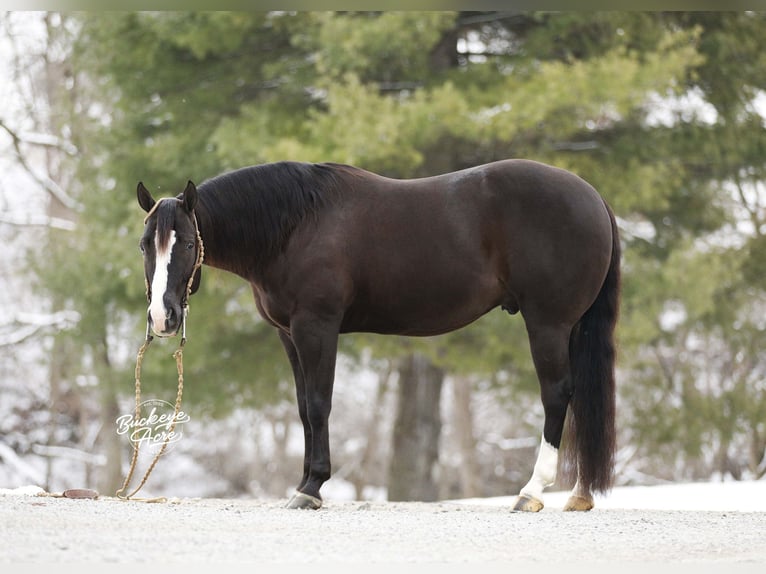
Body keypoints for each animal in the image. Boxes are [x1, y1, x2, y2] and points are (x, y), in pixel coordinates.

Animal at [136, 158, 620, 512]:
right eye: (144, 245)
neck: (295, 226)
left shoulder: (316, 326)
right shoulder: (289, 335)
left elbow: (319, 404)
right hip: (570, 327)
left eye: (188, 244)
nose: (163, 317)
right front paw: (303, 482)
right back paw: (579, 495)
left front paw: (311, 488)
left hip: (548, 323)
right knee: (580, 398)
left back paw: (531, 491)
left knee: (557, 395)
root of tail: (593, 195)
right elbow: (302, 407)